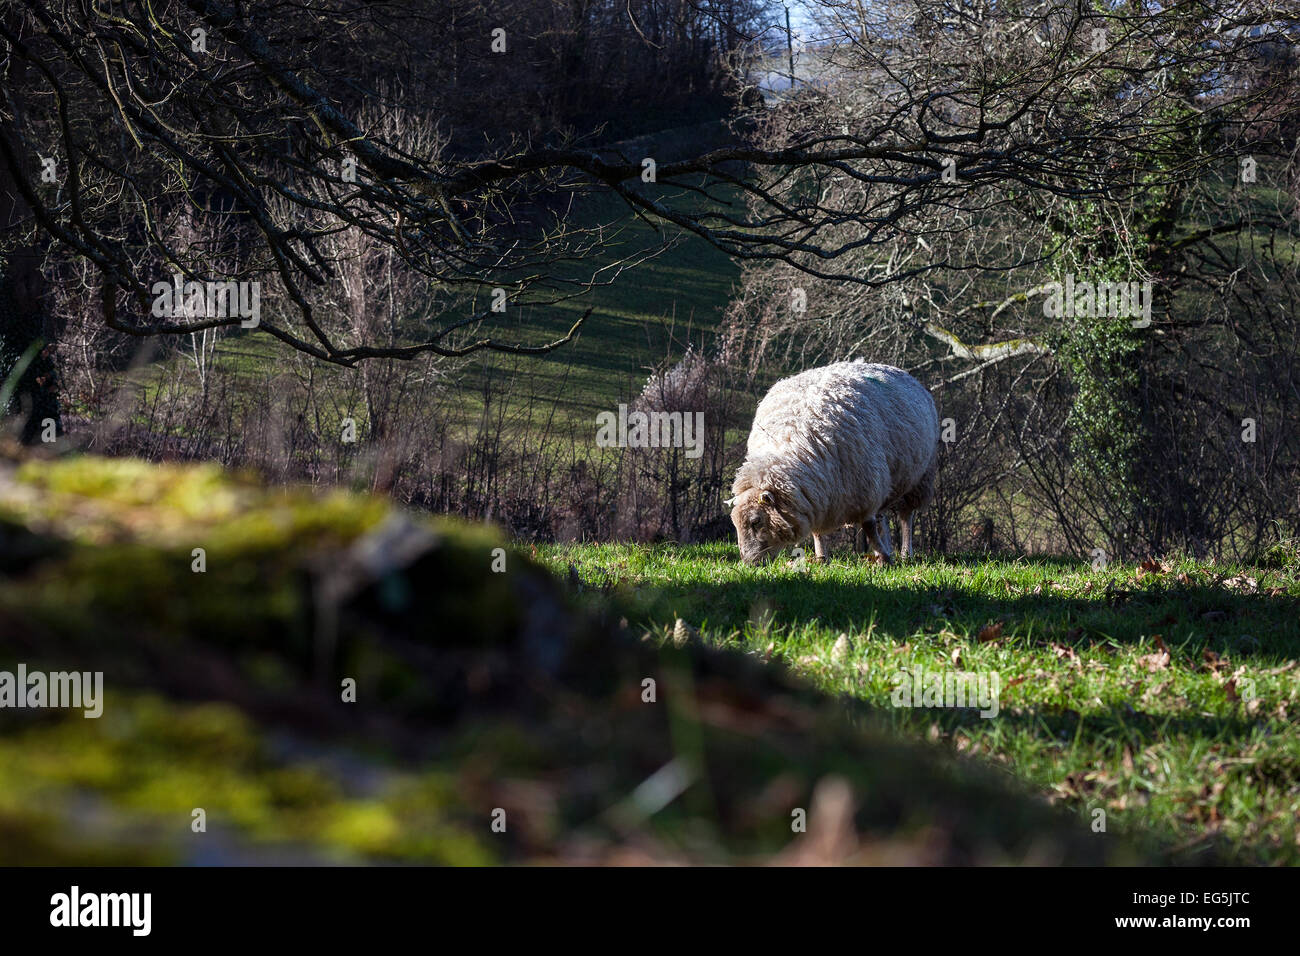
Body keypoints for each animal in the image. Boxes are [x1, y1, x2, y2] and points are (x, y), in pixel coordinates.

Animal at [726, 361, 939, 566]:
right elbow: (818, 530)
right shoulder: (817, 494)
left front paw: (884, 559)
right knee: (883, 518)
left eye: (756, 521)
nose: (748, 563)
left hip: (919, 479)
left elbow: (869, 526)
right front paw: (821, 558)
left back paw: (905, 553)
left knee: (906, 517)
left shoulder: (866, 489)